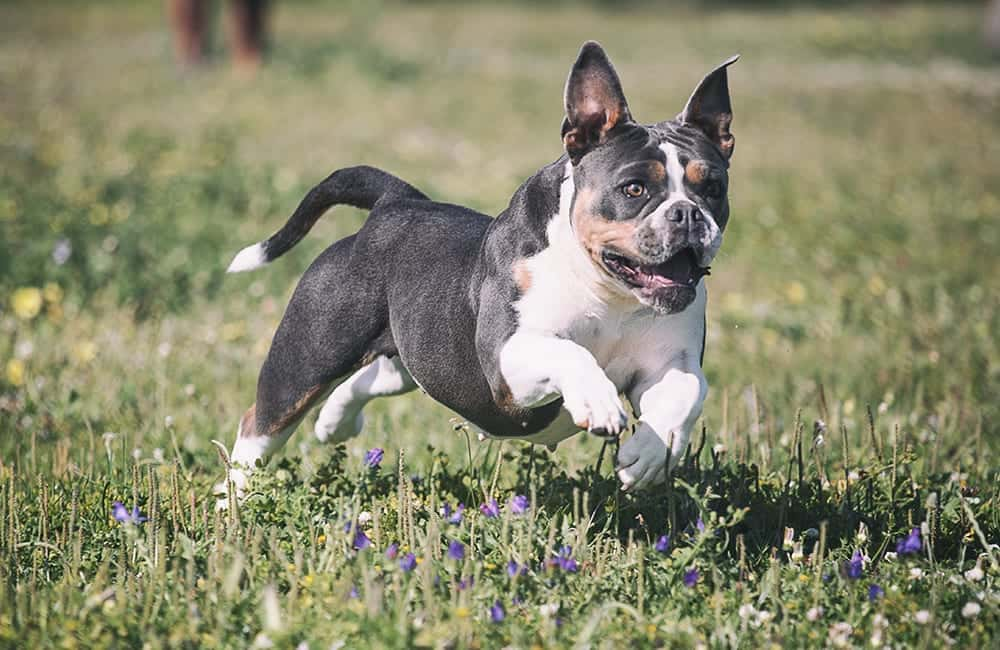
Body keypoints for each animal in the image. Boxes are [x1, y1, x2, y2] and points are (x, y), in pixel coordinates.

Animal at [219, 43, 736, 504]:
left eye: (712, 187)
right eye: (634, 189)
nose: (688, 215)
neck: (608, 292)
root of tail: (394, 203)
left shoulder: (668, 363)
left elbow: (689, 391)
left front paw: (649, 456)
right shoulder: (508, 364)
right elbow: (570, 353)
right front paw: (598, 400)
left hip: (420, 356)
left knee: (372, 377)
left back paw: (334, 423)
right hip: (307, 355)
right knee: (260, 424)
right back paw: (234, 503)